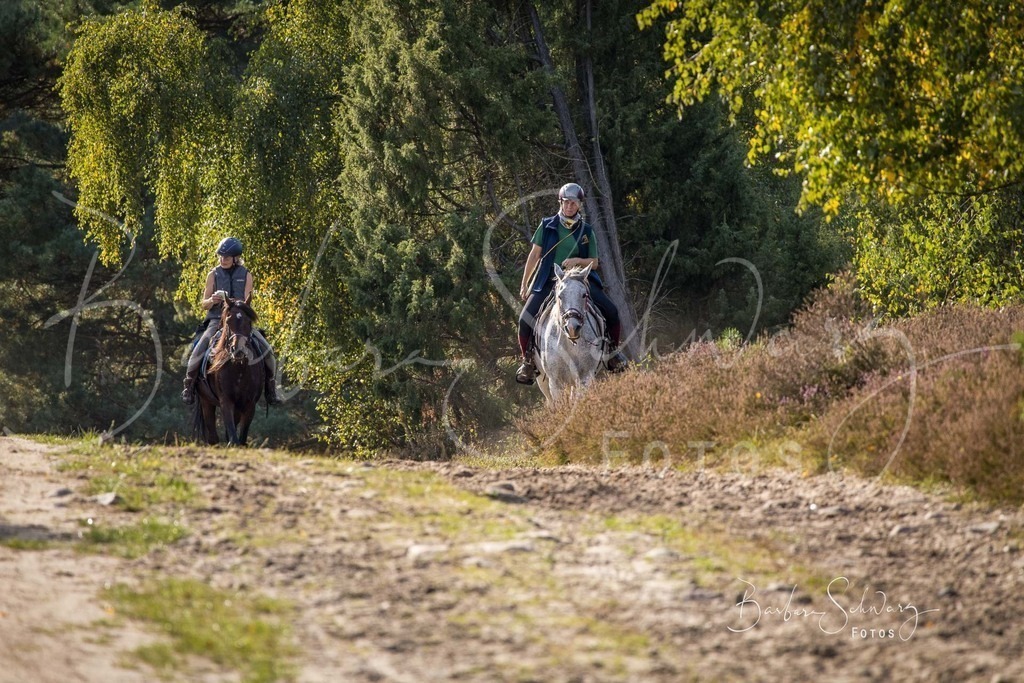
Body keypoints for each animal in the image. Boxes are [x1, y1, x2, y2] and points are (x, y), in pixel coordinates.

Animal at [192, 299, 265, 446]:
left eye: (248, 322)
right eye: (228, 321)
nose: (238, 350)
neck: (239, 369)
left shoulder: (250, 404)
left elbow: (241, 437)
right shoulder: (225, 401)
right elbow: (232, 436)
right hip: (206, 400)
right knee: (213, 436)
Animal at [533, 264, 607, 404]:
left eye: (584, 295)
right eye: (560, 296)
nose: (572, 327)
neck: (569, 342)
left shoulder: (585, 377)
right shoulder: (555, 383)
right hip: (541, 380)